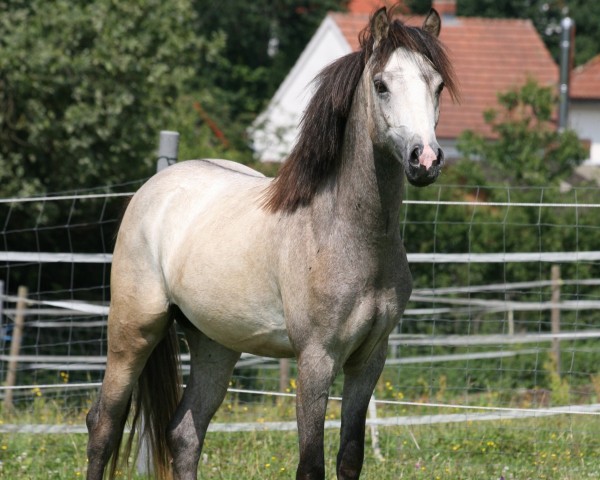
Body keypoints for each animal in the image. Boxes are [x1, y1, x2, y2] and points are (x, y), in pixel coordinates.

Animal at [86, 7, 458, 480]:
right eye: (381, 85)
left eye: (438, 85)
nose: (425, 160)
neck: (347, 235)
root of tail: (152, 188)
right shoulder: (316, 360)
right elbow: (310, 464)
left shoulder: (369, 360)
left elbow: (350, 457)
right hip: (134, 329)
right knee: (104, 423)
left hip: (215, 344)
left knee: (185, 434)